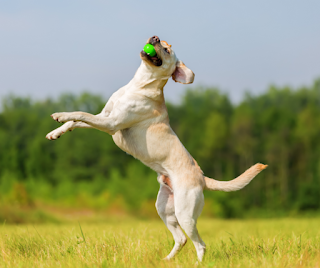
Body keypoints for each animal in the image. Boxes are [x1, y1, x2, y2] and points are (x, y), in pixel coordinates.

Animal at [47, 35, 268, 262]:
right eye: (163, 43)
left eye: (167, 50)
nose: (154, 37)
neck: (138, 85)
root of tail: (203, 178)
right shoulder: (105, 115)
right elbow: (76, 121)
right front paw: (56, 132)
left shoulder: (111, 123)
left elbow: (80, 113)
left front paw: (60, 114)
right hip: (164, 209)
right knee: (181, 239)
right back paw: (166, 260)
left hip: (185, 214)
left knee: (200, 244)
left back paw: (197, 264)